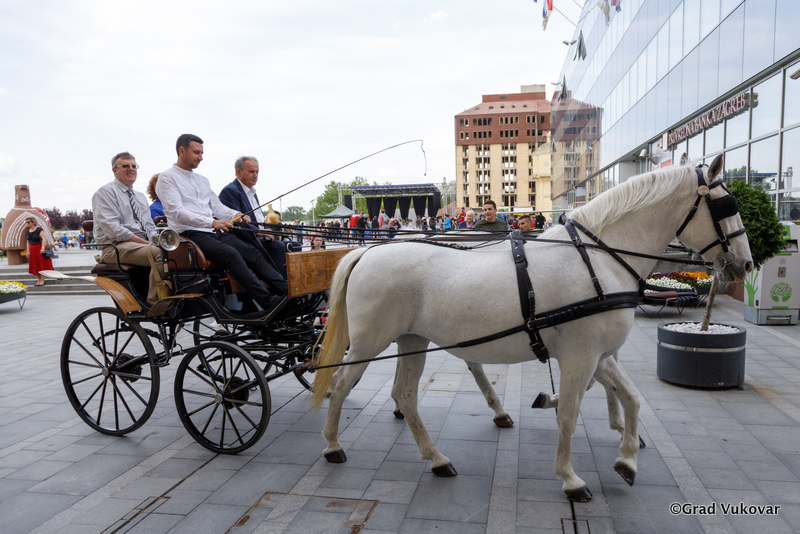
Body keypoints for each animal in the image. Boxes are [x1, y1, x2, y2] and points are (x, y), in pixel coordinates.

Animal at [310, 155, 752, 501]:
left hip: (412, 340)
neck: (599, 259)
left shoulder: (598, 355)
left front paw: (627, 458)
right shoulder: (580, 357)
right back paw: (332, 444)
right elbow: (570, 414)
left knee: (405, 393)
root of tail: (368, 252)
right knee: (342, 382)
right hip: (369, 342)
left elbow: (631, 397)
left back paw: (437, 458)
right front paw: (571, 478)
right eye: (727, 203)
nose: (745, 264)